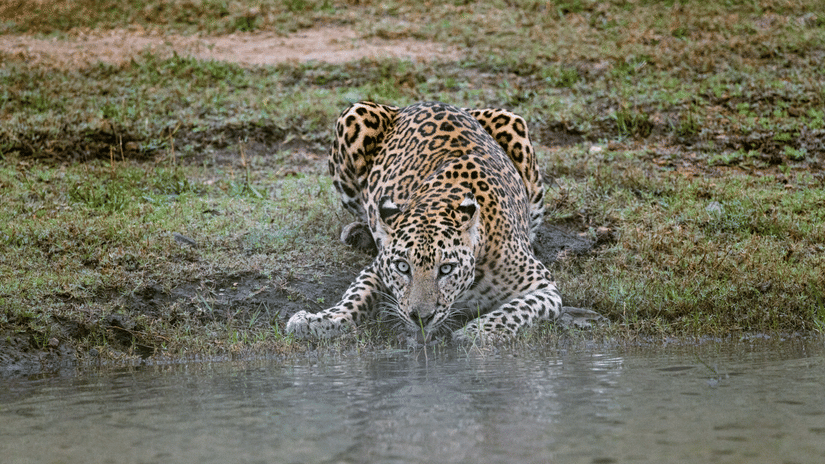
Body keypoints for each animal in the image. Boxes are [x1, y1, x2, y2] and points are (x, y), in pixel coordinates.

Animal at [286, 101, 563, 343]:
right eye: (402, 267)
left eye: (446, 269)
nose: (421, 318)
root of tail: (415, 104)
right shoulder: (377, 267)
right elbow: (355, 296)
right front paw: (318, 320)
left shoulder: (545, 288)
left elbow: (517, 310)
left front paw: (476, 332)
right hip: (353, 116)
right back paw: (359, 232)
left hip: (516, 127)